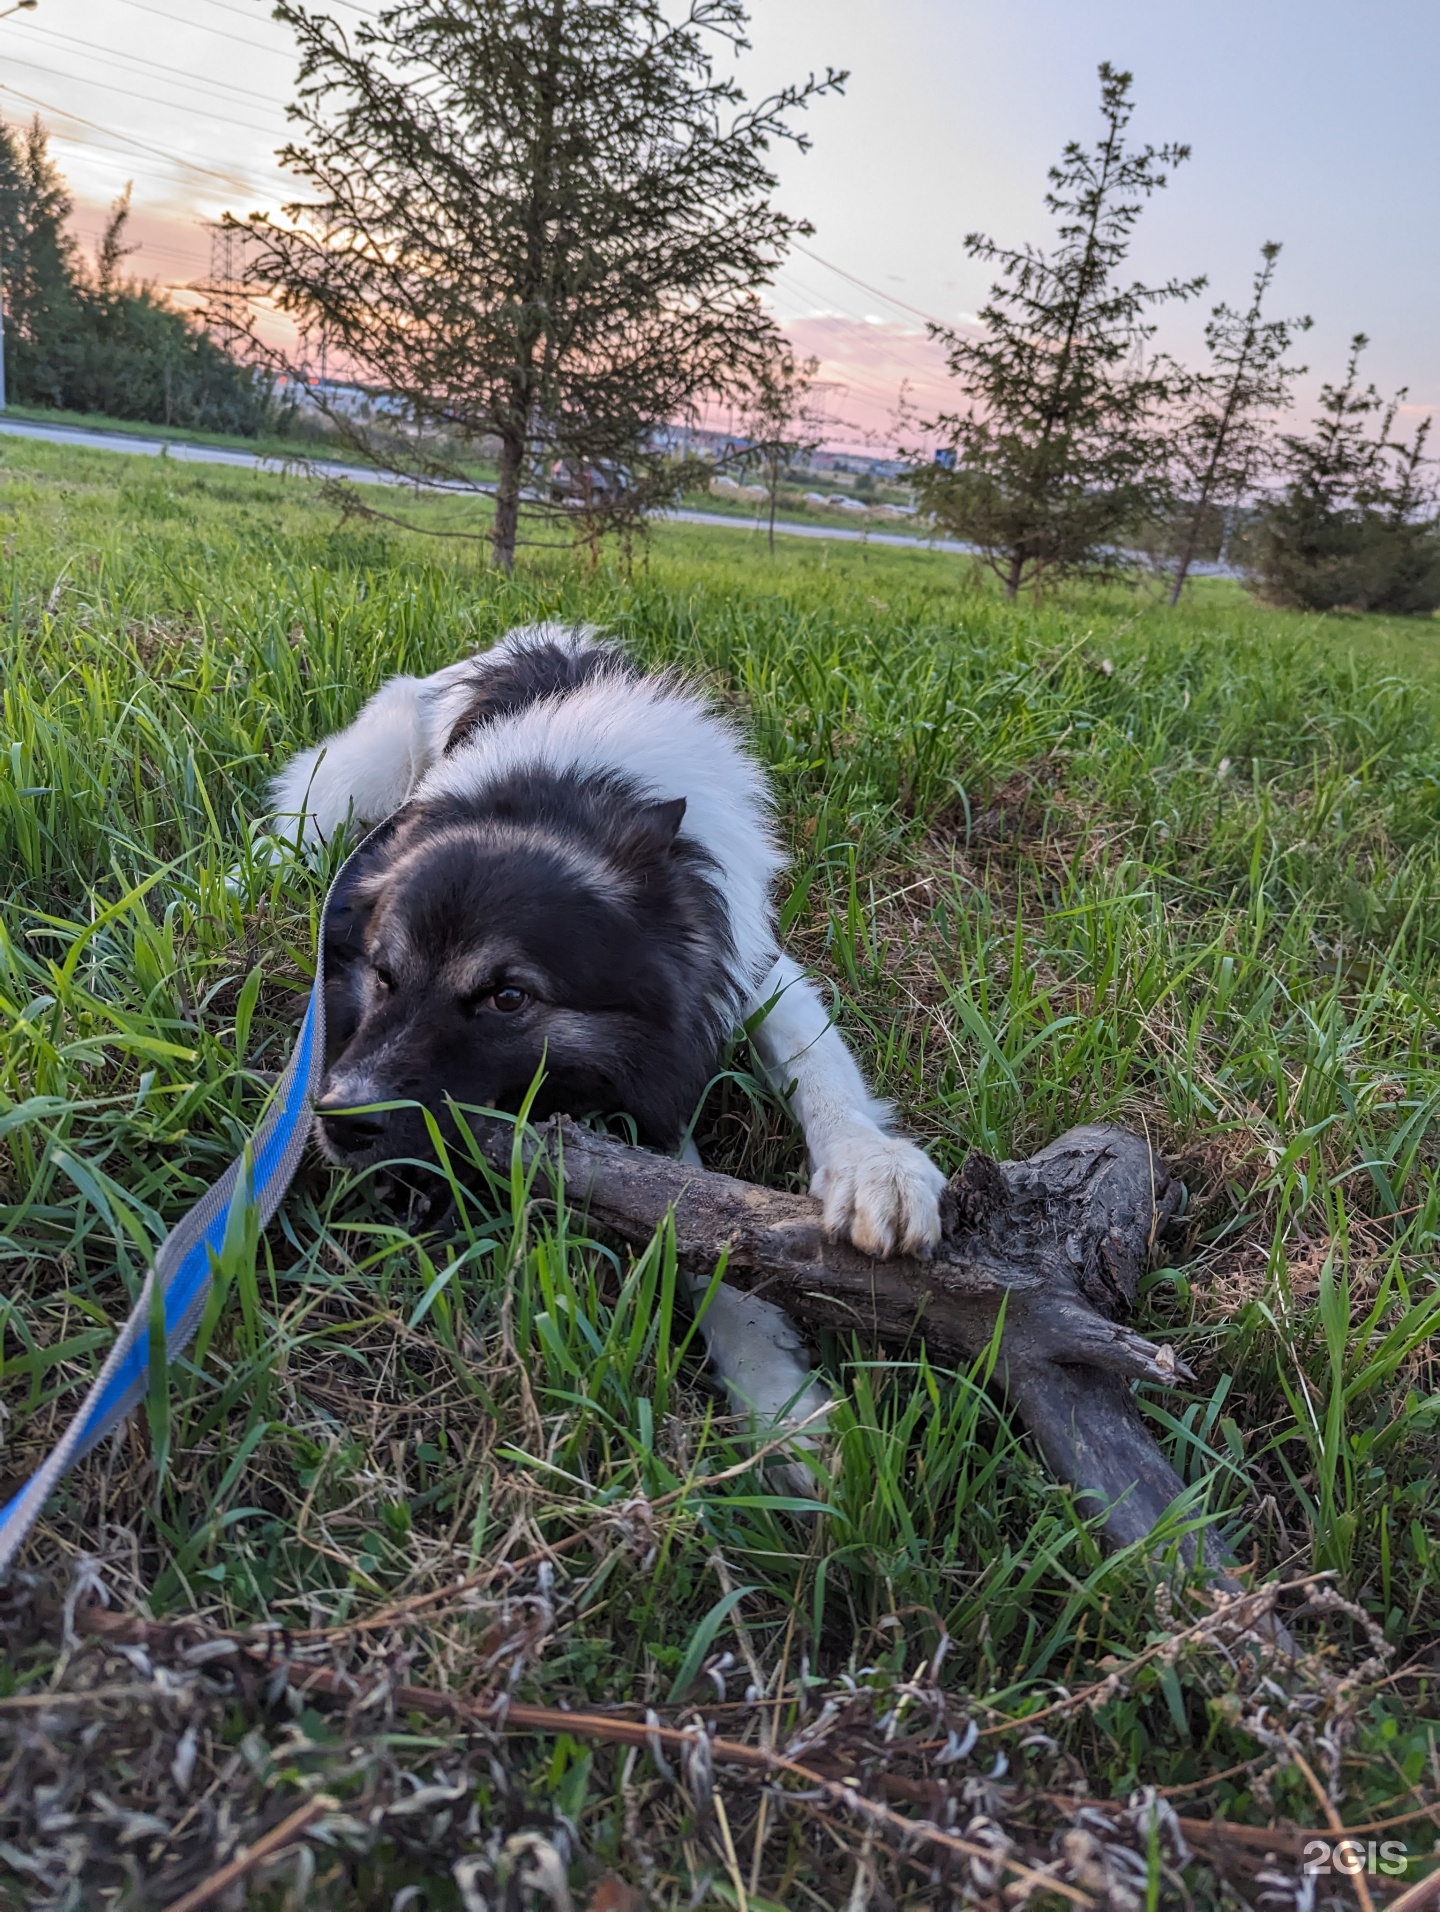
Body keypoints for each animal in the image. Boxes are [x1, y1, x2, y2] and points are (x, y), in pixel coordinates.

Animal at [271, 627, 948, 1460]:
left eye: (508, 998)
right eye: (385, 975)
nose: (338, 1121)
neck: (564, 796)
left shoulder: (748, 963)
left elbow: (806, 1073)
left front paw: (871, 1171)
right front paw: (774, 1393)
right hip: (350, 782)